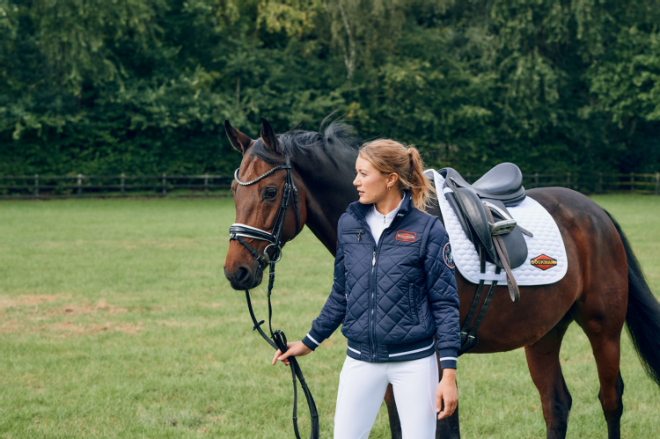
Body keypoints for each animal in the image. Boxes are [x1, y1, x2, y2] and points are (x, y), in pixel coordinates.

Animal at [223, 117, 660, 439]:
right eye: (233, 189)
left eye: (270, 192)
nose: (235, 271)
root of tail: (595, 212)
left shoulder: (435, 362)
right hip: (544, 335)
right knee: (557, 405)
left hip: (603, 328)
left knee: (611, 399)